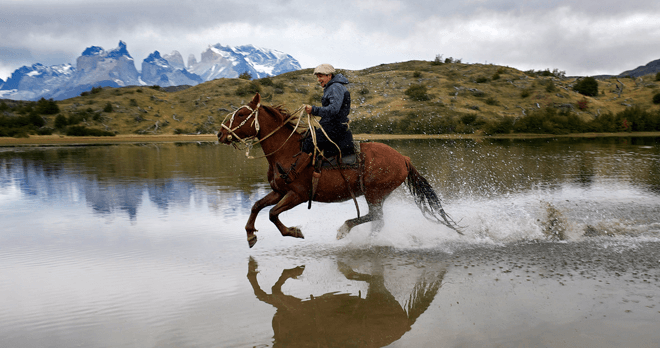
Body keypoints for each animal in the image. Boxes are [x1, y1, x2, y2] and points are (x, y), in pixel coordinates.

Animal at [217, 91, 458, 246]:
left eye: (241, 115)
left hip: (375, 193)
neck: (287, 151)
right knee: (376, 219)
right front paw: (250, 235)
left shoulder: (298, 195)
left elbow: (272, 214)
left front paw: (294, 232)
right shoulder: (279, 191)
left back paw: (348, 231)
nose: (220, 134)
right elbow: (257, 206)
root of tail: (404, 158)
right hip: (377, 194)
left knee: (376, 218)